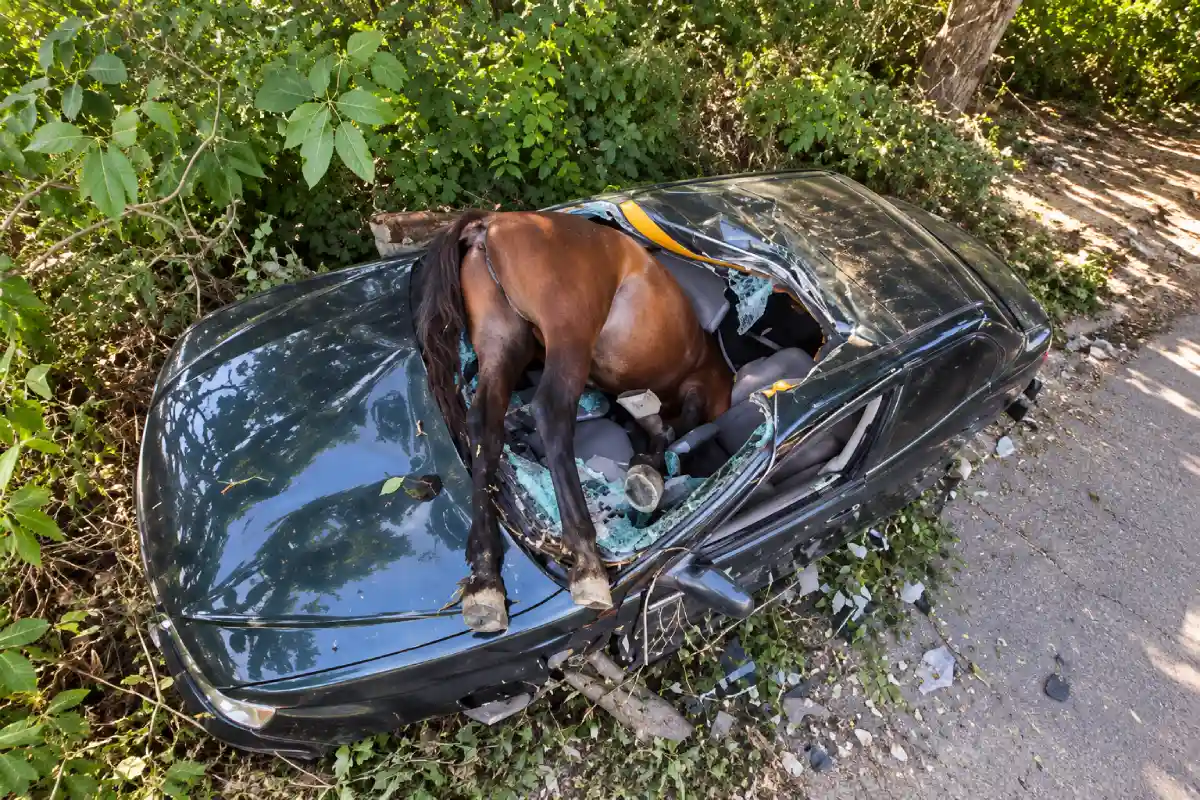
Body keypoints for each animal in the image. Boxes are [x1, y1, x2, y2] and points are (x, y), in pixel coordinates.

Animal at [416, 210, 733, 632]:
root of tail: (493, 223)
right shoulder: (702, 385)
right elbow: (681, 422)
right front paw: (648, 467)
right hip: (570, 332)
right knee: (552, 412)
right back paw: (586, 561)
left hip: (503, 340)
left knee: (484, 424)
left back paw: (484, 578)